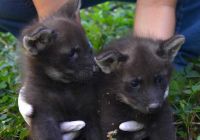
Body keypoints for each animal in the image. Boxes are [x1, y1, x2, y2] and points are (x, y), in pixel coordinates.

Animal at [19, 0, 101, 139]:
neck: (63, 86)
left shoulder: (89, 110)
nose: (96, 69)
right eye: (72, 53)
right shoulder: (43, 114)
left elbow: (95, 133)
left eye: (89, 47)